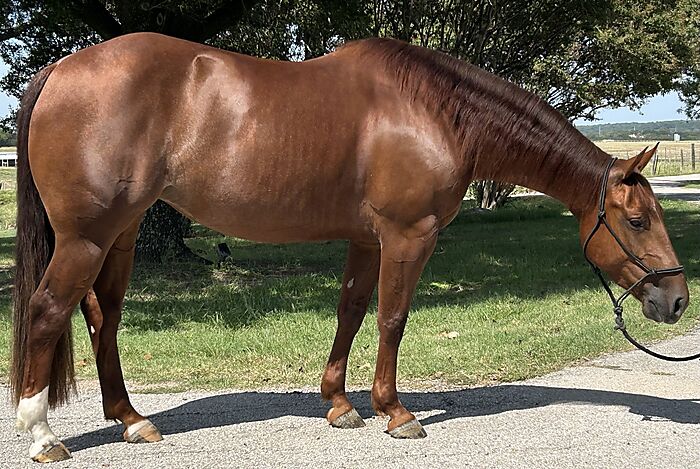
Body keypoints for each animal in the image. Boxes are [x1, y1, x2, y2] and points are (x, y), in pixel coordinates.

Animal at [11, 33, 688, 462]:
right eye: (635, 220)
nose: (677, 300)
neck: (433, 113)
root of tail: (61, 71)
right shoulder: (409, 235)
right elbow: (393, 317)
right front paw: (396, 412)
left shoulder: (367, 238)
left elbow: (352, 311)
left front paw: (339, 405)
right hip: (87, 238)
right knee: (47, 313)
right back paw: (42, 436)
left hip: (119, 236)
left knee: (102, 317)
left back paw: (131, 420)